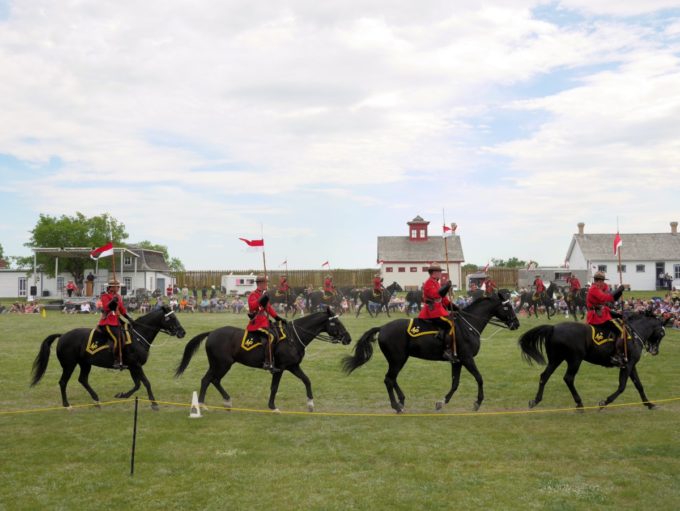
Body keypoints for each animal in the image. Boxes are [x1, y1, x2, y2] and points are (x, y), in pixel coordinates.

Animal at [30, 306, 186, 410]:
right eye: (171, 318)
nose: (182, 332)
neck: (138, 336)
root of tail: (62, 336)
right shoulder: (136, 365)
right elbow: (146, 383)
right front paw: (154, 403)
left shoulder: (132, 367)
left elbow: (137, 384)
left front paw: (122, 395)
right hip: (69, 365)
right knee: (63, 382)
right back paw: (67, 404)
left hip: (85, 364)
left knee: (83, 380)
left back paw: (96, 400)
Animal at [175, 308, 350, 412]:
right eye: (336, 322)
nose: (348, 338)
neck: (293, 337)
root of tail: (212, 333)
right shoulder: (280, 368)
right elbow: (274, 387)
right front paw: (272, 407)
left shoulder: (293, 366)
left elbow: (307, 380)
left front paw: (310, 404)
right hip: (221, 364)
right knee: (208, 380)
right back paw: (202, 405)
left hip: (221, 365)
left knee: (214, 380)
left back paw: (227, 401)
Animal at [342, 290, 516, 414]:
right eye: (507, 307)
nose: (516, 323)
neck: (468, 325)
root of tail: (383, 327)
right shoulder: (467, 359)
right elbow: (479, 378)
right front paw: (477, 402)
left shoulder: (457, 361)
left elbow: (455, 383)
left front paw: (441, 403)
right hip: (398, 359)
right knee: (389, 379)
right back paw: (396, 406)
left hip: (399, 359)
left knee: (392, 379)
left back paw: (401, 401)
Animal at [516, 312, 668, 412]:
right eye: (662, 333)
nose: (655, 351)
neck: (634, 334)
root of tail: (553, 328)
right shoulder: (627, 365)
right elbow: (622, 386)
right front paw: (604, 402)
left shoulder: (631, 365)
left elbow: (639, 385)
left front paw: (649, 404)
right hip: (574, 360)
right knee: (568, 378)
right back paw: (579, 403)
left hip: (556, 360)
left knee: (544, 376)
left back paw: (535, 400)